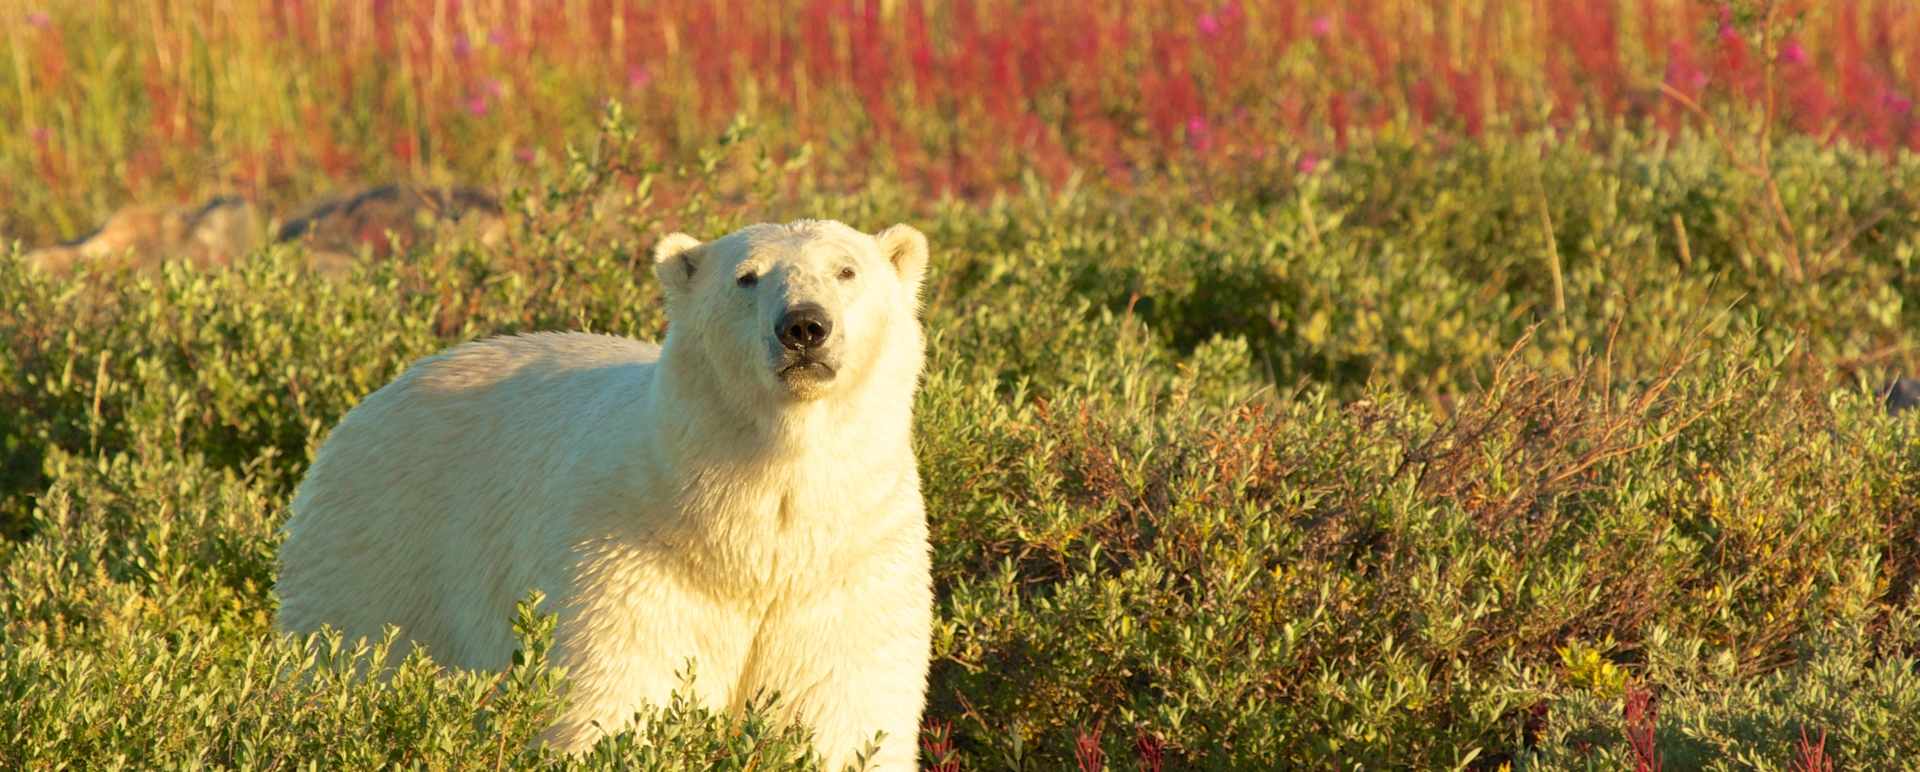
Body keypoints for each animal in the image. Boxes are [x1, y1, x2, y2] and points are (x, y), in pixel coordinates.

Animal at [275, 219, 935, 770]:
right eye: (747, 277)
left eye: (847, 271)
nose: (803, 325)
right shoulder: (634, 565)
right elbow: (618, 701)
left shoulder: (847, 571)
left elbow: (840, 713)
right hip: (382, 552)